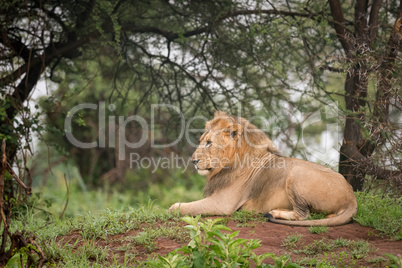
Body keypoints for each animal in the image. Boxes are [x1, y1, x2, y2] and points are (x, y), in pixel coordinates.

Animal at [168, 111, 356, 226]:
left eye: (208, 142)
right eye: (201, 140)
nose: (193, 161)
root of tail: (352, 197)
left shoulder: (223, 203)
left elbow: (177, 207)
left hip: (297, 172)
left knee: (303, 214)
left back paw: (275, 213)